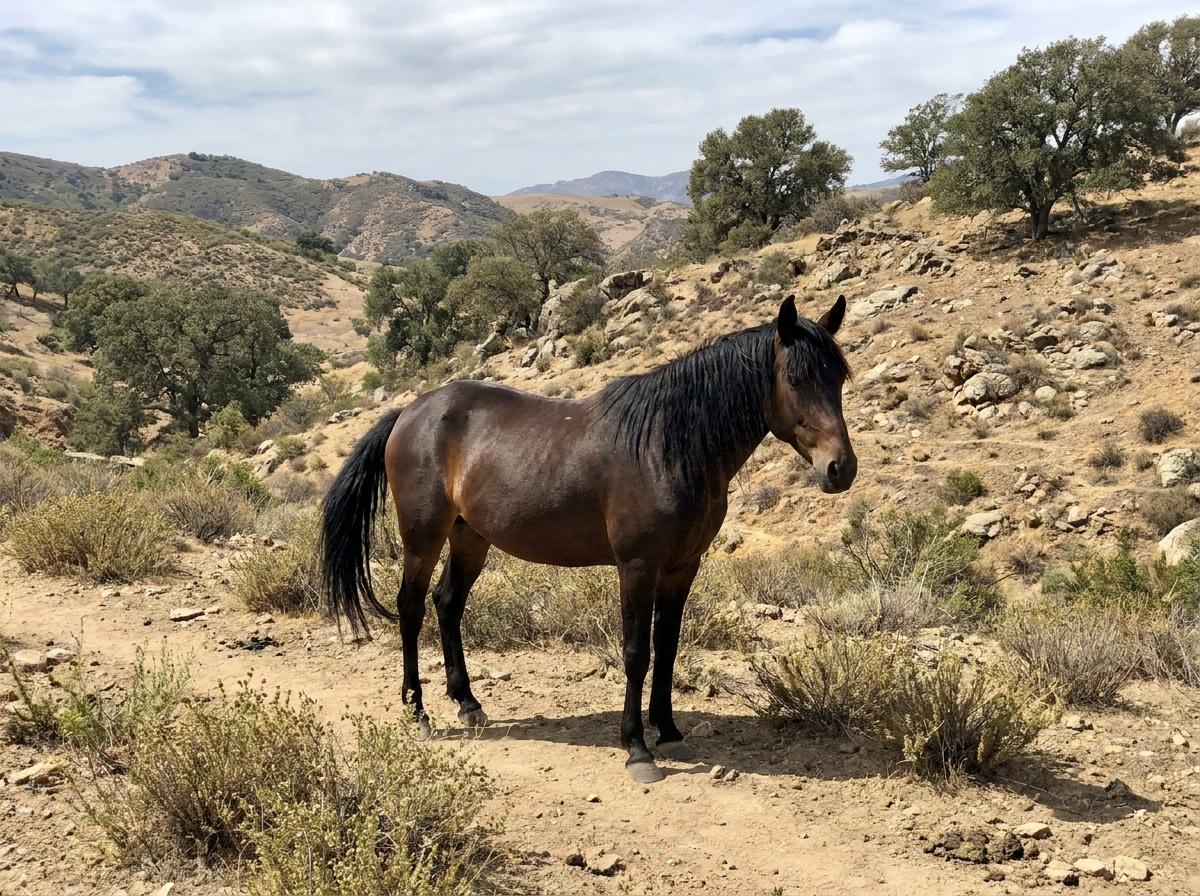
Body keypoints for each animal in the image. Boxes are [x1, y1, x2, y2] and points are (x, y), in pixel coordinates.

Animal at [320, 294, 856, 783]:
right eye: (796, 379)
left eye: (838, 378)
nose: (840, 468)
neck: (667, 446)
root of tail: (409, 412)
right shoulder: (637, 568)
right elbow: (637, 653)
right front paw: (637, 749)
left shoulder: (683, 568)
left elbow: (668, 648)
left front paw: (669, 732)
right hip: (423, 538)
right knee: (411, 608)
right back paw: (419, 711)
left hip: (469, 537)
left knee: (447, 603)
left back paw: (468, 704)